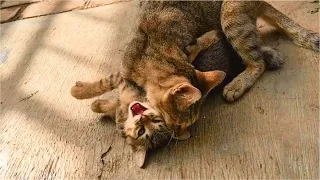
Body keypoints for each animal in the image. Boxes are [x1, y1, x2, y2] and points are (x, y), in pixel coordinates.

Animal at [121, 0, 318, 136]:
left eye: (180, 124)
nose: (177, 134)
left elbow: (203, 42)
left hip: (230, 16)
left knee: (257, 62)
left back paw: (237, 84)